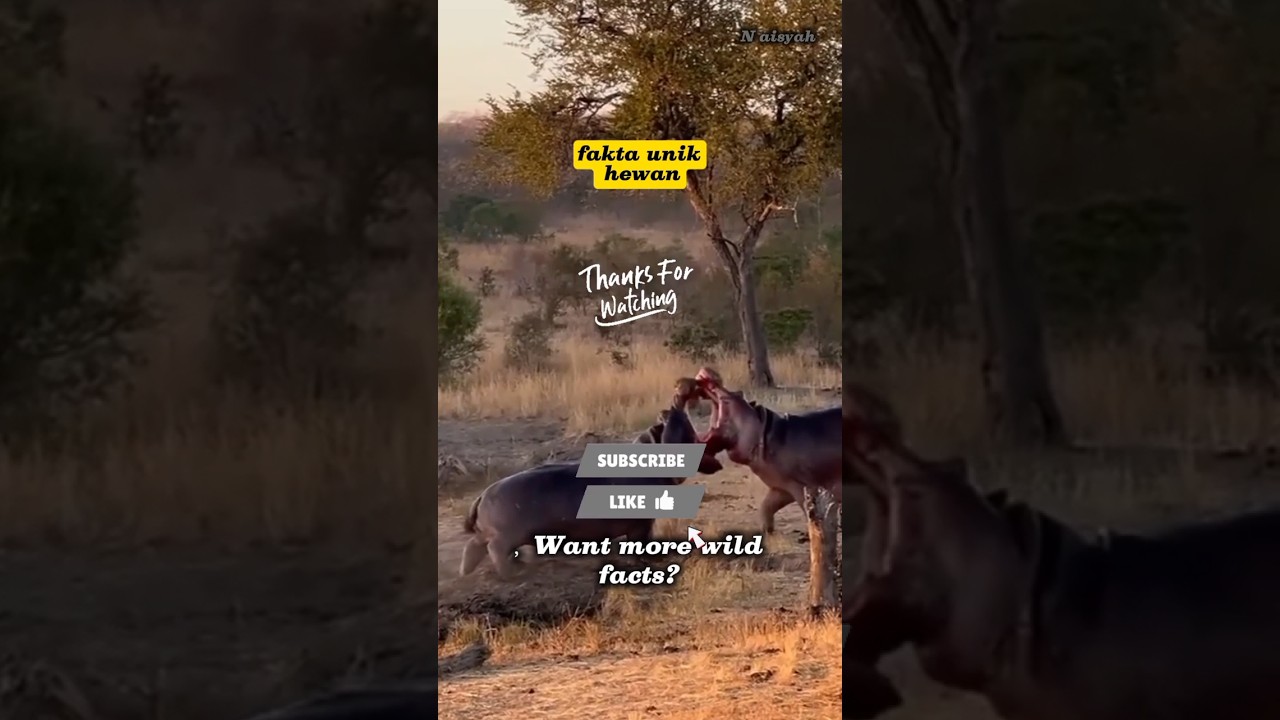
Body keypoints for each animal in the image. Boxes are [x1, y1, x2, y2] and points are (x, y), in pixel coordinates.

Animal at [459, 394, 726, 577]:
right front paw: (647, 562)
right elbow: (641, 543)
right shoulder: (641, 523)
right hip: (505, 535)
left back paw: (471, 573)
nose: (674, 406)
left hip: (494, 533)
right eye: (689, 430)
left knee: (473, 547)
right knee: (494, 550)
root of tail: (482, 495)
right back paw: (510, 573)